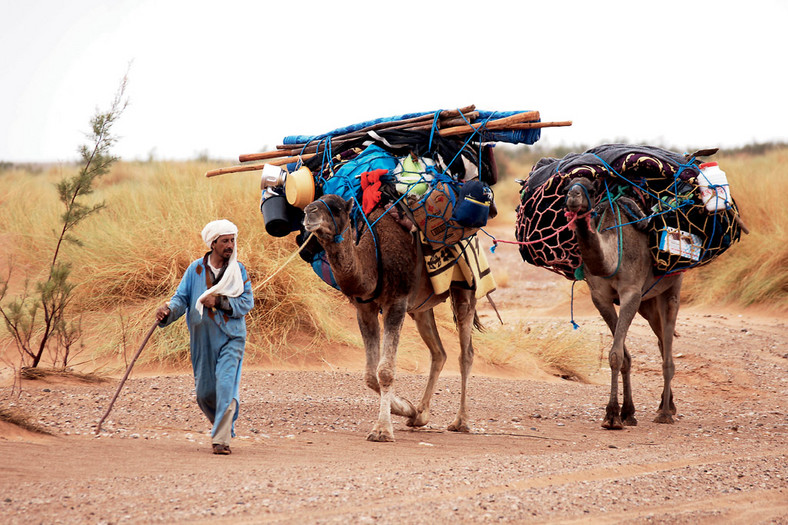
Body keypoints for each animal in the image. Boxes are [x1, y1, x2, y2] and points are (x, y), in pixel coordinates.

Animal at [302, 194, 478, 440]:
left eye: (337, 208)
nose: (309, 212)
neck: (372, 260)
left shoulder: (396, 302)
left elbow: (384, 371)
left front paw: (382, 429)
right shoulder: (365, 309)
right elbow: (370, 375)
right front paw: (406, 408)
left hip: (465, 288)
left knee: (466, 353)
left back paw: (461, 421)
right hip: (420, 307)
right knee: (439, 353)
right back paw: (420, 415)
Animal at [568, 178, 684, 428]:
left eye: (590, 189)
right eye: (567, 187)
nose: (573, 197)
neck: (611, 257)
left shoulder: (631, 292)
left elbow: (616, 354)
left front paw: (612, 415)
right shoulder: (600, 297)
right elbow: (622, 356)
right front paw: (626, 412)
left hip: (672, 286)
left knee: (667, 349)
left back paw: (665, 413)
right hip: (648, 303)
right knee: (662, 342)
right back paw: (667, 404)